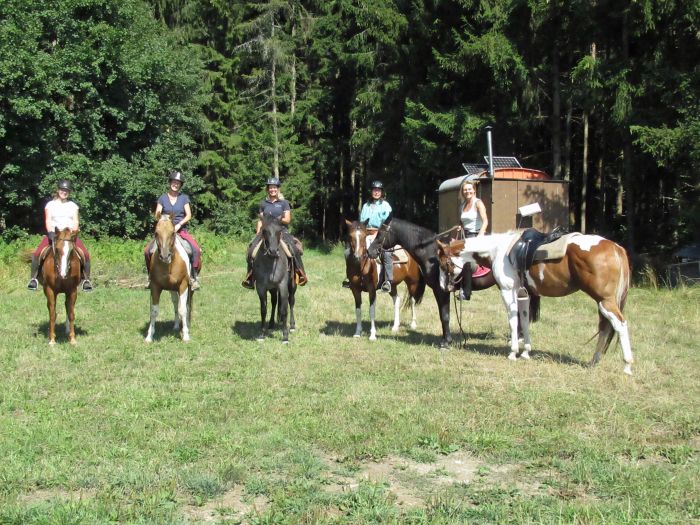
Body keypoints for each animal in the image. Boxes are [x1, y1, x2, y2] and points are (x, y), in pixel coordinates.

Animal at [145, 214, 193, 342]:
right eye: (156, 233)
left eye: (172, 233)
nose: (165, 256)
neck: (169, 265)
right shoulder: (155, 286)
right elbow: (154, 311)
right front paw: (149, 336)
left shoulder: (183, 285)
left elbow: (183, 309)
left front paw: (185, 335)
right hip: (172, 289)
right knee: (176, 303)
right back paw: (176, 326)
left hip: (189, 288)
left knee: (188, 304)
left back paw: (187, 324)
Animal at [366, 215, 498, 346]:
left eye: (381, 232)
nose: (369, 251)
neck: (432, 255)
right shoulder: (437, 290)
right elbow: (442, 315)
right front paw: (445, 340)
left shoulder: (443, 290)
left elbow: (445, 315)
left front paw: (446, 343)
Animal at [442, 231, 636, 374]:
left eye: (444, 263)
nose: (444, 286)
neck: (497, 250)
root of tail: (616, 247)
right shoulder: (524, 295)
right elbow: (524, 321)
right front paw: (526, 352)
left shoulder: (508, 292)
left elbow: (513, 322)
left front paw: (513, 352)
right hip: (602, 302)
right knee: (604, 327)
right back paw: (594, 361)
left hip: (605, 301)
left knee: (620, 325)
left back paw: (627, 365)